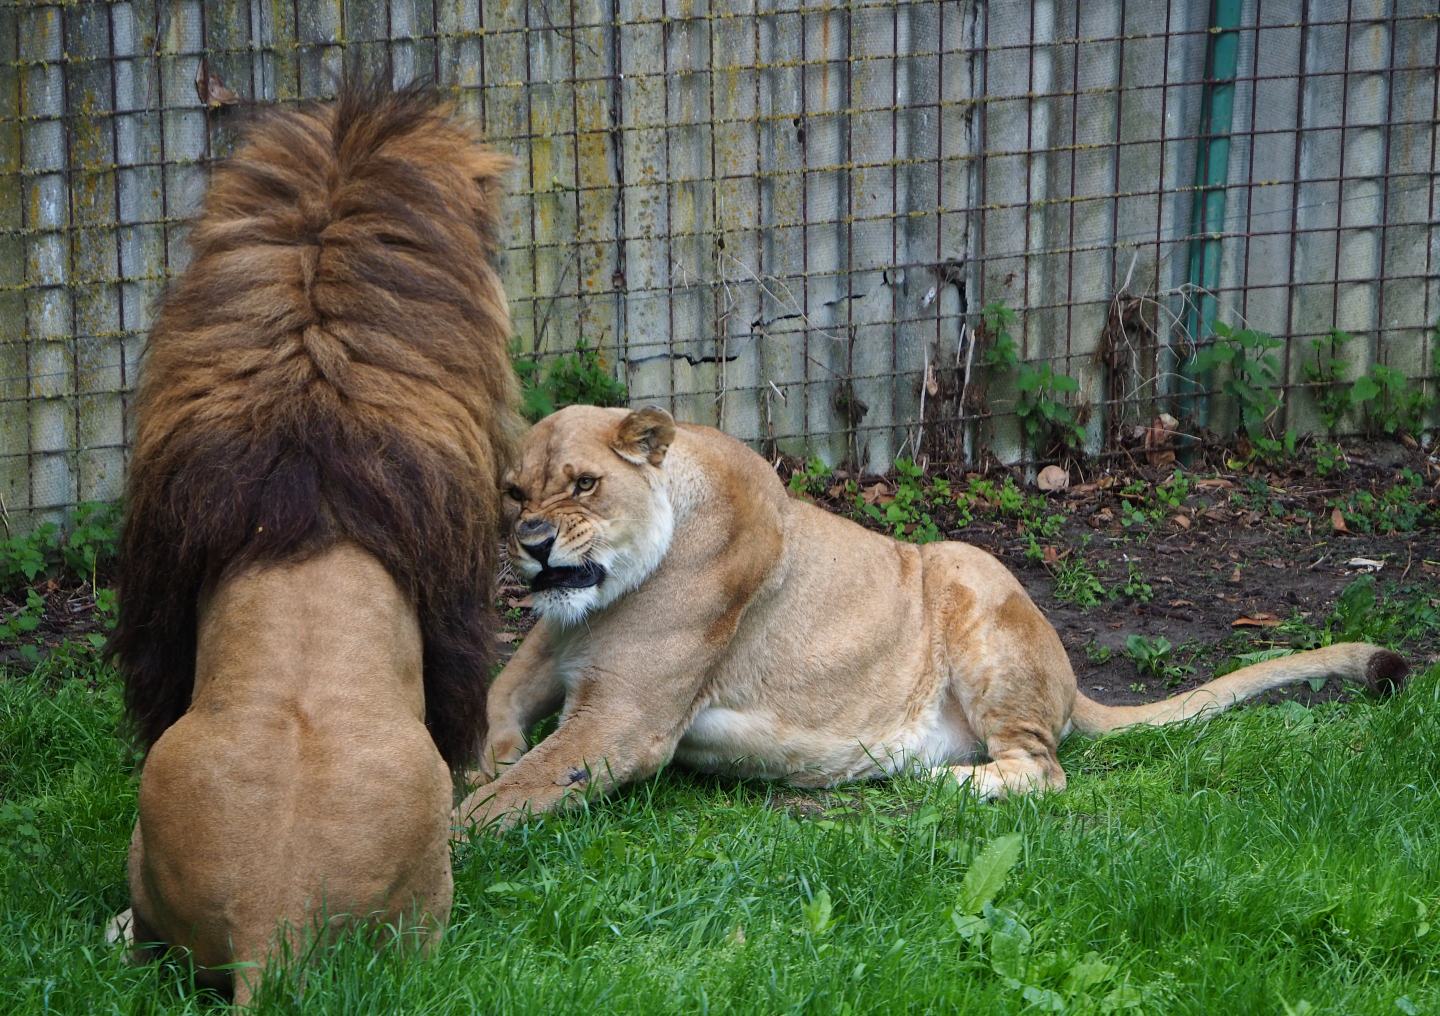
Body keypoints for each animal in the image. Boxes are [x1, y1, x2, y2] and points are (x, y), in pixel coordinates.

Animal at [455, 405, 1408, 829]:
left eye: (584, 484)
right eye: (515, 494)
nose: (533, 546)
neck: (603, 600)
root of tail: (1072, 680)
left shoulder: (625, 723)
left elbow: (520, 790)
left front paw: (457, 834)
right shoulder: (557, 646)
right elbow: (501, 699)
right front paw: (487, 757)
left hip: (967, 567)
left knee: (1041, 769)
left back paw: (942, 781)